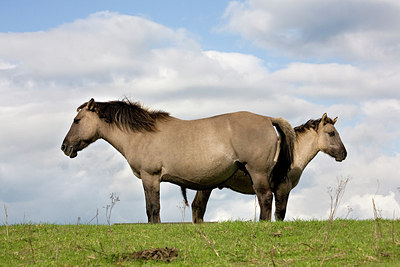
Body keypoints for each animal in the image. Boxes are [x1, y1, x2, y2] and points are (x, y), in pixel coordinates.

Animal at [61, 98, 296, 224]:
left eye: (77, 120)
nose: (65, 147)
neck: (141, 134)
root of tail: (268, 119)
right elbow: (151, 207)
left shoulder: (150, 177)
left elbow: (153, 207)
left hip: (257, 173)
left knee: (265, 198)